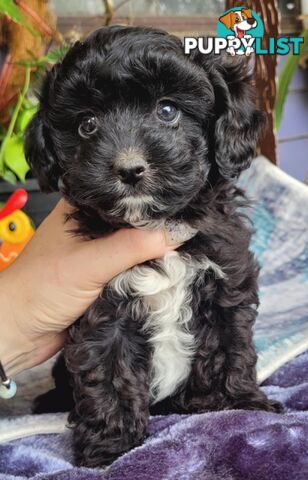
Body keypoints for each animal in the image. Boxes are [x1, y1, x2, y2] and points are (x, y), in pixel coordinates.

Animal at [25, 25, 282, 464]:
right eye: (87, 125)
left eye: (167, 111)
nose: (129, 169)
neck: (155, 222)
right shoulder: (103, 306)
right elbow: (108, 371)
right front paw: (109, 446)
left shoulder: (225, 277)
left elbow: (230, 344)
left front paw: (240, 405)